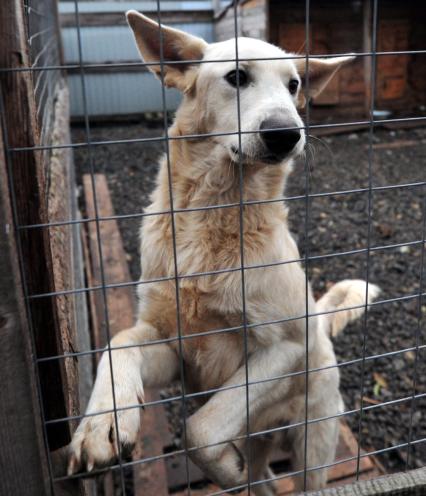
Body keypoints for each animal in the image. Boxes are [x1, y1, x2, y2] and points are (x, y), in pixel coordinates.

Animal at [69, 13, 380, 494]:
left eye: (293, 85)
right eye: (237, 77)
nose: (286, 134)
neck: (215, 217)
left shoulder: (285, 349)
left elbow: (198, 429)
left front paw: (224, 469)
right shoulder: (174, 348)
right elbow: (117, 343)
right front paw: (103, 424)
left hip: (311, 444)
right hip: (260, 438)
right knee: (262, 475)